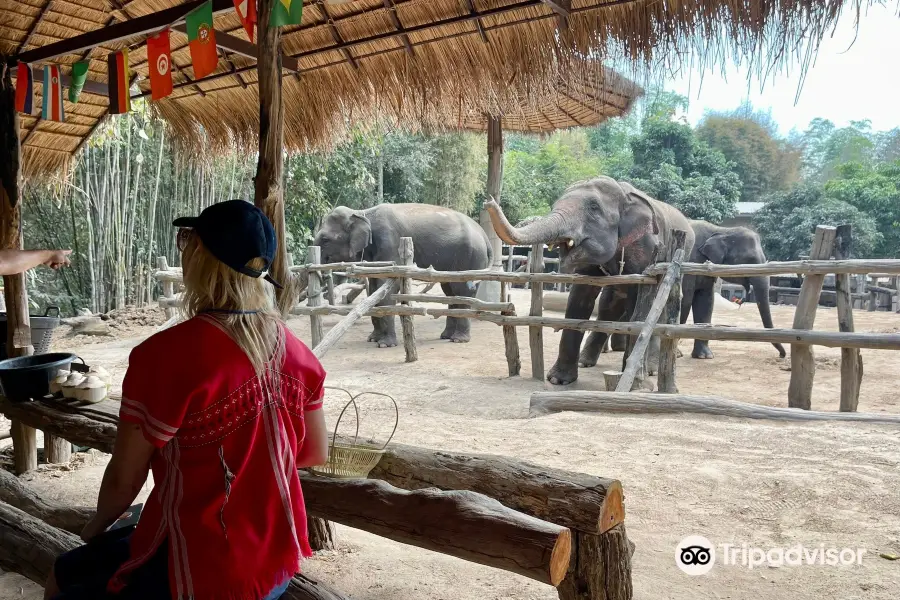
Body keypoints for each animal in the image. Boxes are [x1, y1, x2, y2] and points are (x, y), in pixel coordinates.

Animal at [486, 176, 696, 386]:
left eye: (594, 208)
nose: (489, 201)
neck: (624, 194)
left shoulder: (646, 250)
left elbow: (640, 304)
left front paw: (632, 379)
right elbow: (580, 298)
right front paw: (558, 380)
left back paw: (651, 369)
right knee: (608, 305)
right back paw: (584, 361)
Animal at [684, 221, 784, 358]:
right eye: (750, 259)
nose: (781, 355)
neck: (722, 230)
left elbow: (706, 301)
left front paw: (705, 356)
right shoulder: (689, 263)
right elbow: (685, 299)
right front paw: (677, 354)